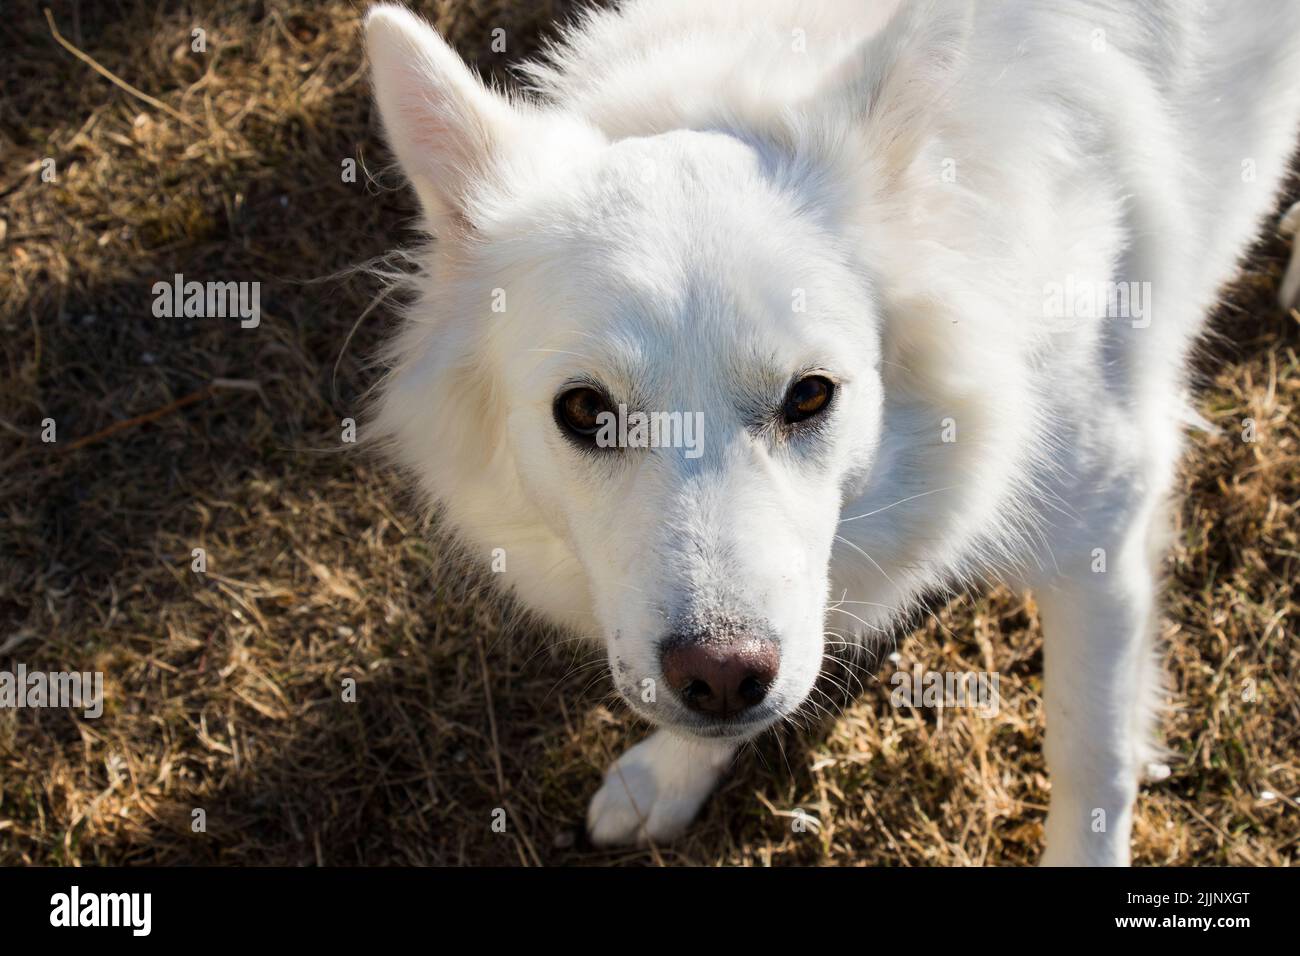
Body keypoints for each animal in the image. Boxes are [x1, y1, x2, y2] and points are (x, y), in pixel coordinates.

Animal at [364, 1, 1300, 868]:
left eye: (809, 395)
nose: (723, 677)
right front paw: (673, 773)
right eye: (586, 412)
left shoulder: (1102, 529)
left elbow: (1089, 754)